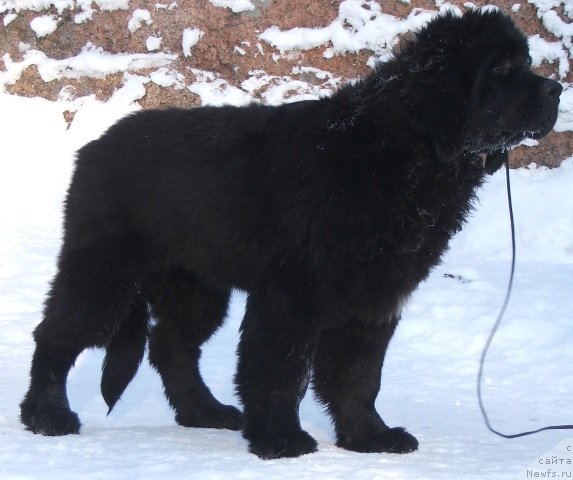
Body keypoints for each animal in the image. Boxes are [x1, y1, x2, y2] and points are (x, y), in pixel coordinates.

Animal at [20, 9, 560, 460]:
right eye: (500, 69)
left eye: (526, 63)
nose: (556, 90)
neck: (399, 152)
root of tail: (96, 145)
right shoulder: (291, 293)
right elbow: (280, 370)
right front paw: (280, 440)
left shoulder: (374, 295)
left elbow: (358, 375)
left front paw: (369, 437)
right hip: (105, 273)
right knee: (58, 334)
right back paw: (47, 415)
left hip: (195, 284)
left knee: (172, 345)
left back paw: (203, 412)